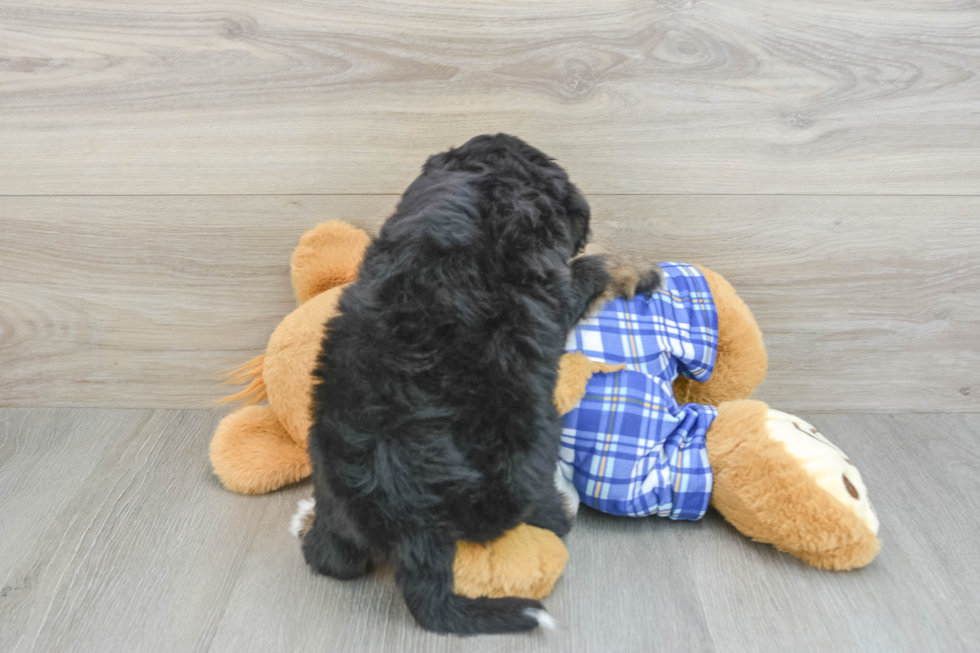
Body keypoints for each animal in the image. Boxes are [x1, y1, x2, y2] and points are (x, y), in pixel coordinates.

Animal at [302, 136, 644, 632]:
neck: (490, 186)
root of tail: (412, 526)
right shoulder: (555, 289)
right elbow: (582, 274)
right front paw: (606, 264)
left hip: (329, 473)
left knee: (333, 559)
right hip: (527, 455)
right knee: (544, 515)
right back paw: (562, 510)